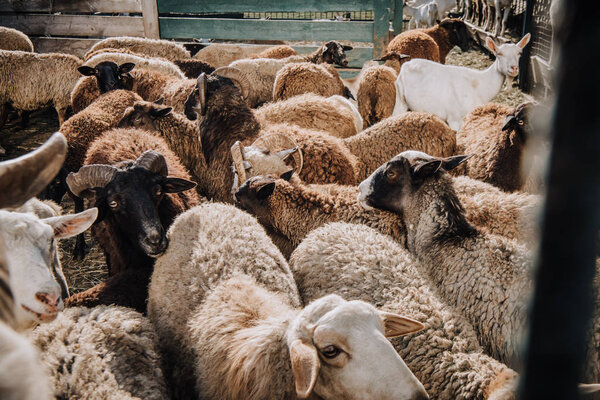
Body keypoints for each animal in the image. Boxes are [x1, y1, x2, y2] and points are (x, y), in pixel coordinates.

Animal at [396, 34, 532, 130]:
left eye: (519, 53)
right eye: (499, 53)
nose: (514, 68)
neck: (479, 85)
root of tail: (406, 65)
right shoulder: (455, 119)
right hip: (400, 100)